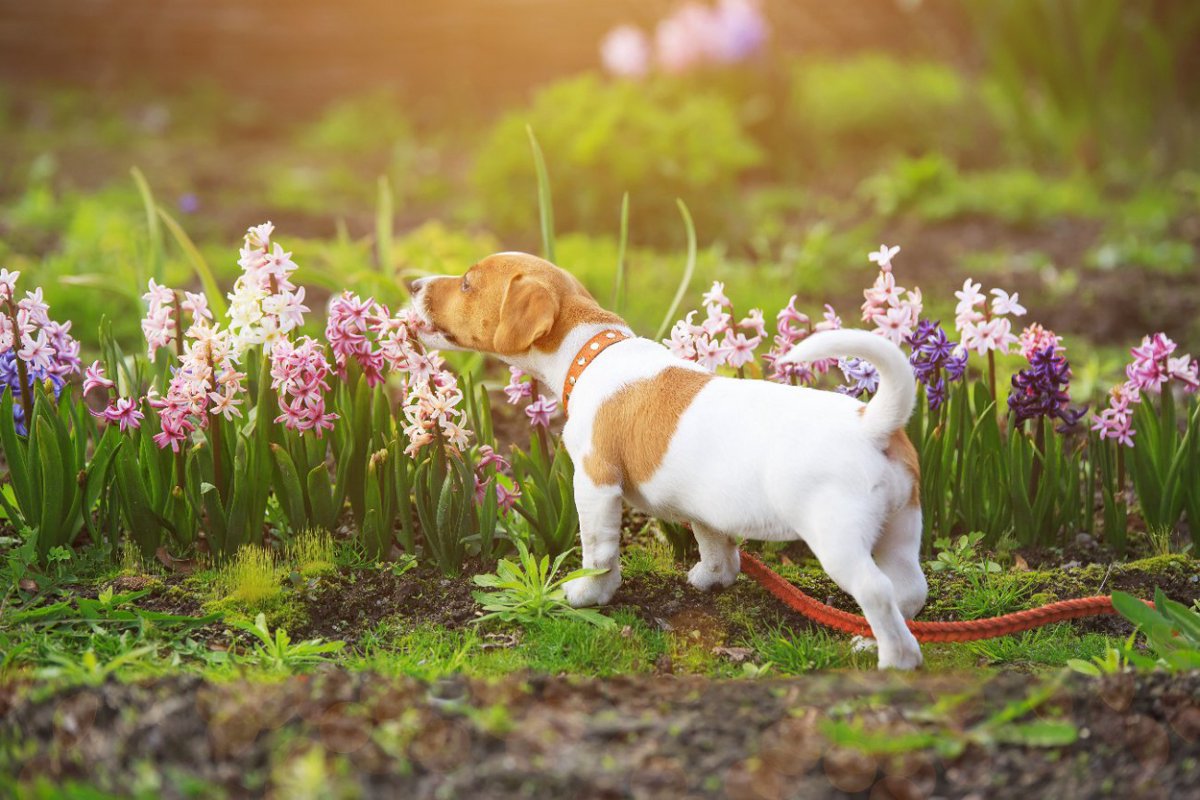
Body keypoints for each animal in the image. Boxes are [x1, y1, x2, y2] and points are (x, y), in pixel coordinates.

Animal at [408, 251, 921, 671]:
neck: (591, 352)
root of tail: (872, 422)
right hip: (901, 528)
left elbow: (598, 551)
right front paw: (712, 579)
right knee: (910, 590)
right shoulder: (706, 509)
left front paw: (590, 595)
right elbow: (715, 545)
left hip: (837, 539)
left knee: (877, 591)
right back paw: (872, 641)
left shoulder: (594, 484)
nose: (413, 284)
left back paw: (894, 660)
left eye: (468, 284)